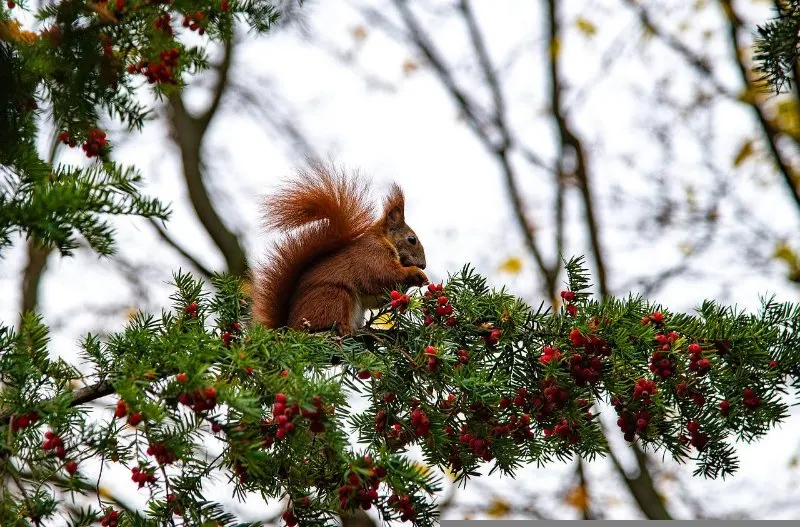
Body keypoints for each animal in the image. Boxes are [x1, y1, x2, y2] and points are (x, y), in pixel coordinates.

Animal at [255, 163, 432, 336]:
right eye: (411, 239)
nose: (423, 265)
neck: (384, 239)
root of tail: (288, 327)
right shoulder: (372, 255)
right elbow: (383, 275)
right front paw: (416, 274)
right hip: (335, 297)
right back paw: (343, 329)